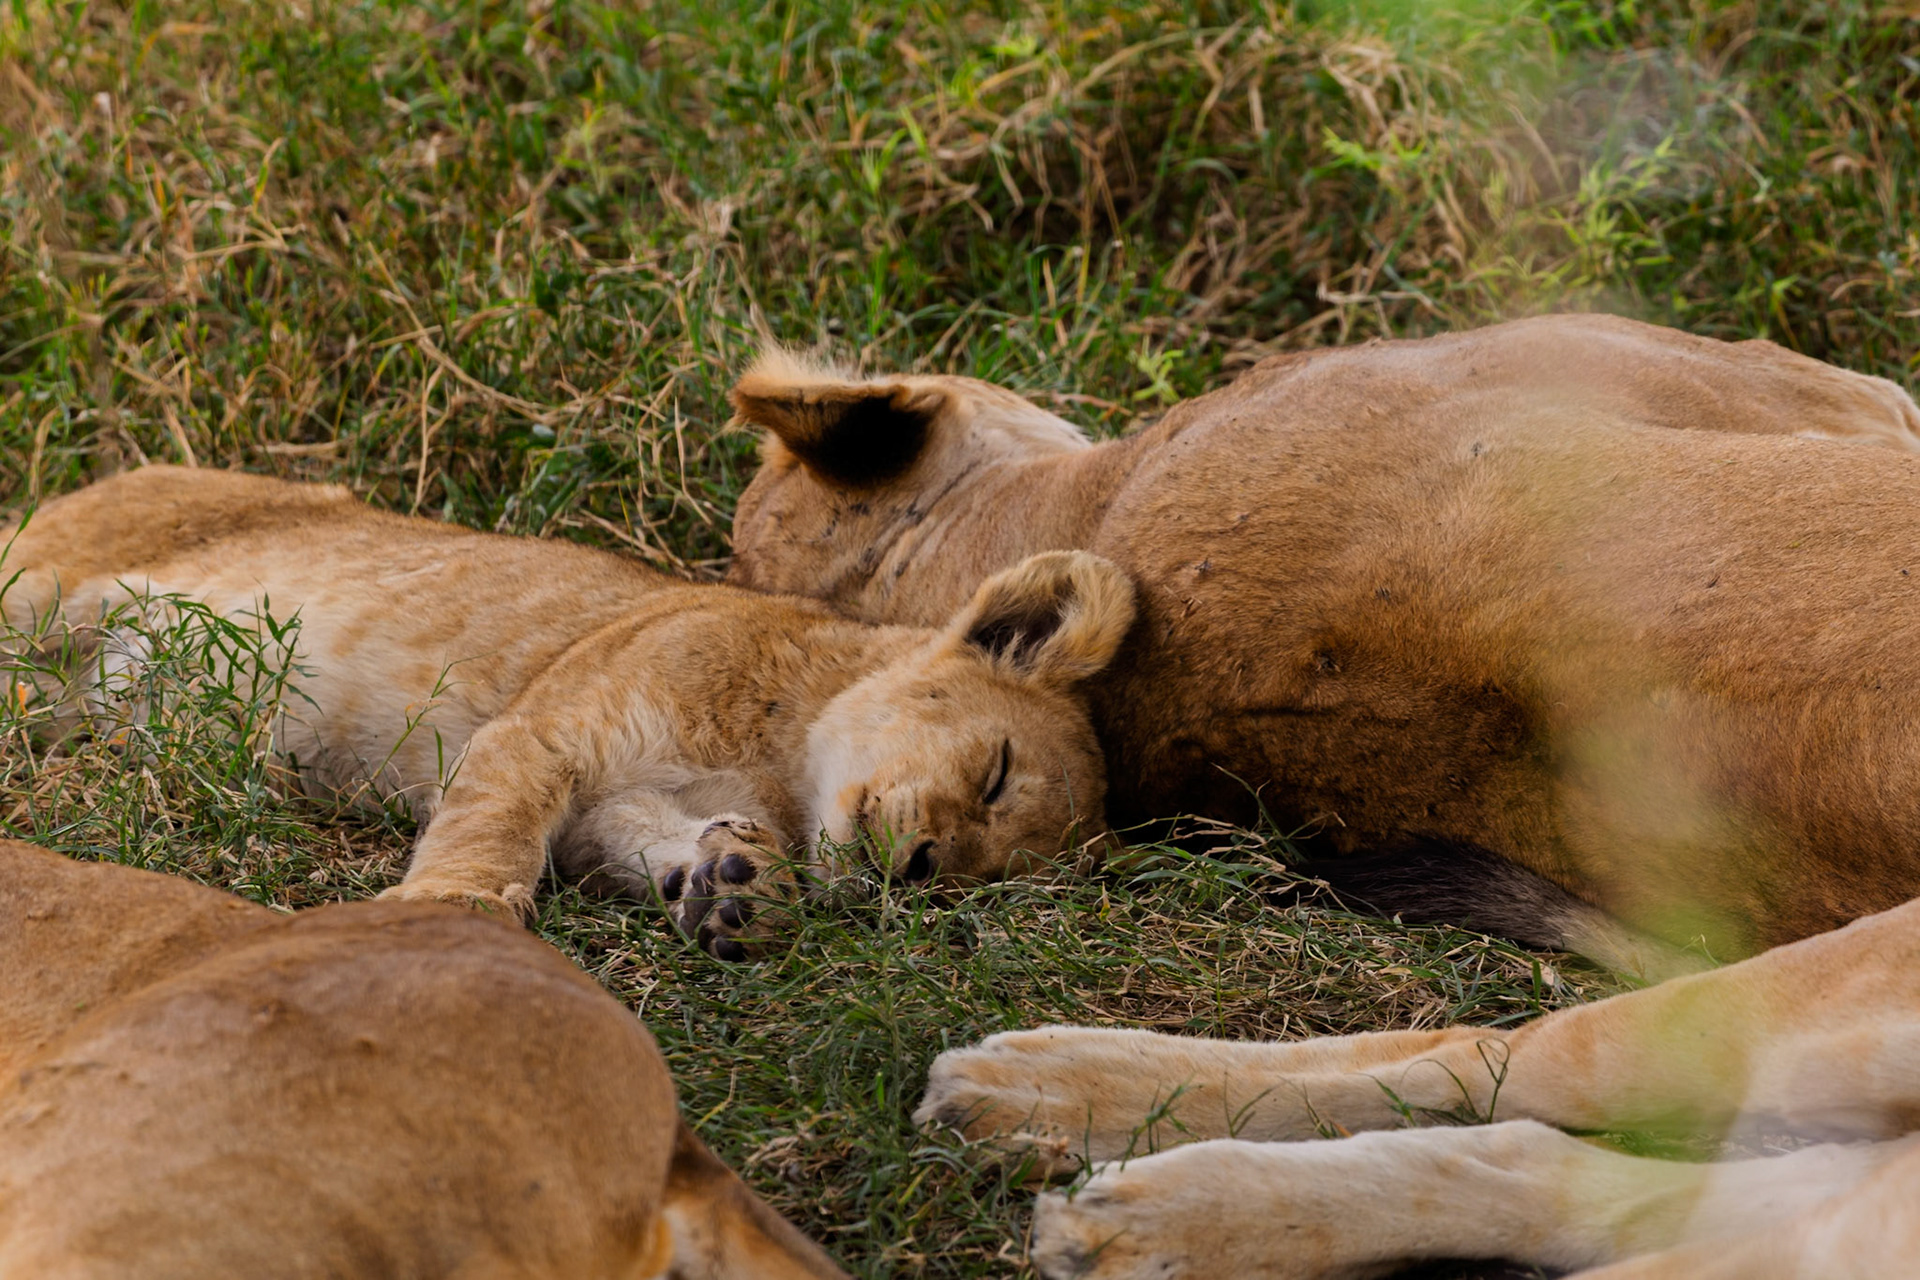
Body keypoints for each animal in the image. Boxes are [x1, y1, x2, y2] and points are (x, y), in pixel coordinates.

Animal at [2, 466, 1133, 956]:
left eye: (984, 882)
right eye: (993, 769)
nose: (921, 869)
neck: (783, 756)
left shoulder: (612, 805)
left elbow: (650, 840)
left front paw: (733, 887)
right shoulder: (548, 731)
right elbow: (493, 828)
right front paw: (452, 911)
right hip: (45, 588)